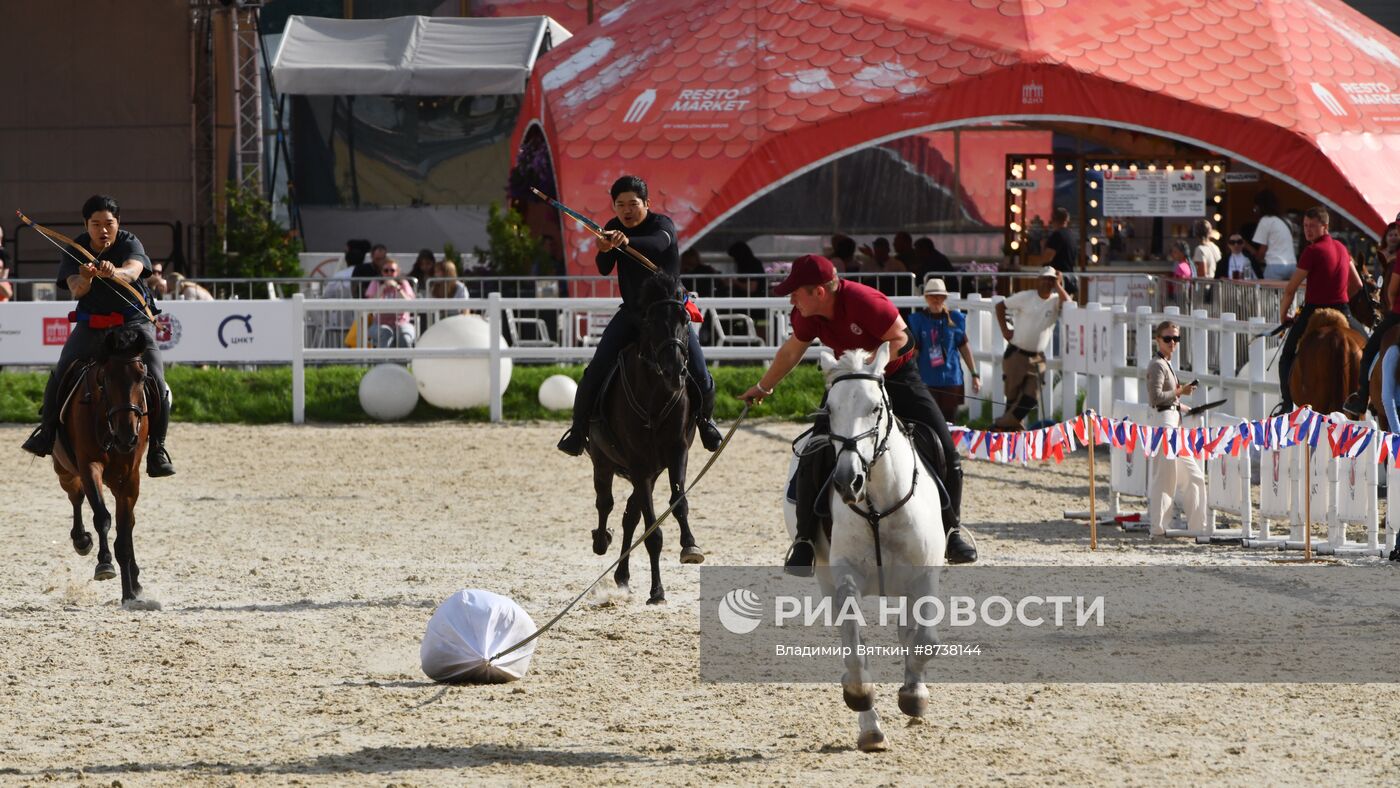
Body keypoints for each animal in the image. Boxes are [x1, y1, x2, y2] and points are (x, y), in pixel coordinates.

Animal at [52, 327, 158, 610]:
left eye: (142, 377)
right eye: (106, 378)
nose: (127, 436)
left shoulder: (130, 479)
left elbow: (124, 535)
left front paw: (129, 593)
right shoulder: (89, 467)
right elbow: (102, 517)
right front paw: (104, 563)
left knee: (128, 525)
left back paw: (135, 580)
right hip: (64, 470)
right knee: (76, 497)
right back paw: (81, 540)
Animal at [588, 271, 705, 604]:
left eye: (685, 319)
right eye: (651, 322)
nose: (675, 370)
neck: (655, 393)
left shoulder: (676, 451)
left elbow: (678, 502)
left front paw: (690, 545)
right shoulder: (638, 463)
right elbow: (652, 531)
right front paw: (657, 591)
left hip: (653, 471)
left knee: (630, 514)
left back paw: (622, 574)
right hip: (604, 461)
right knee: (606, 503)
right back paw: (601, 540)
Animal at [784, 345, 946, 750]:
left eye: (875, 407)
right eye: (830, 409)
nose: (848, 480)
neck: (877, 503)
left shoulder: (924, 577)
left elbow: (925, 640)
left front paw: (914, 696)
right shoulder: (845, 578)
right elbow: (856, 653)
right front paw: (861, 700)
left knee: (908, 632)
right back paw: (870, 729)